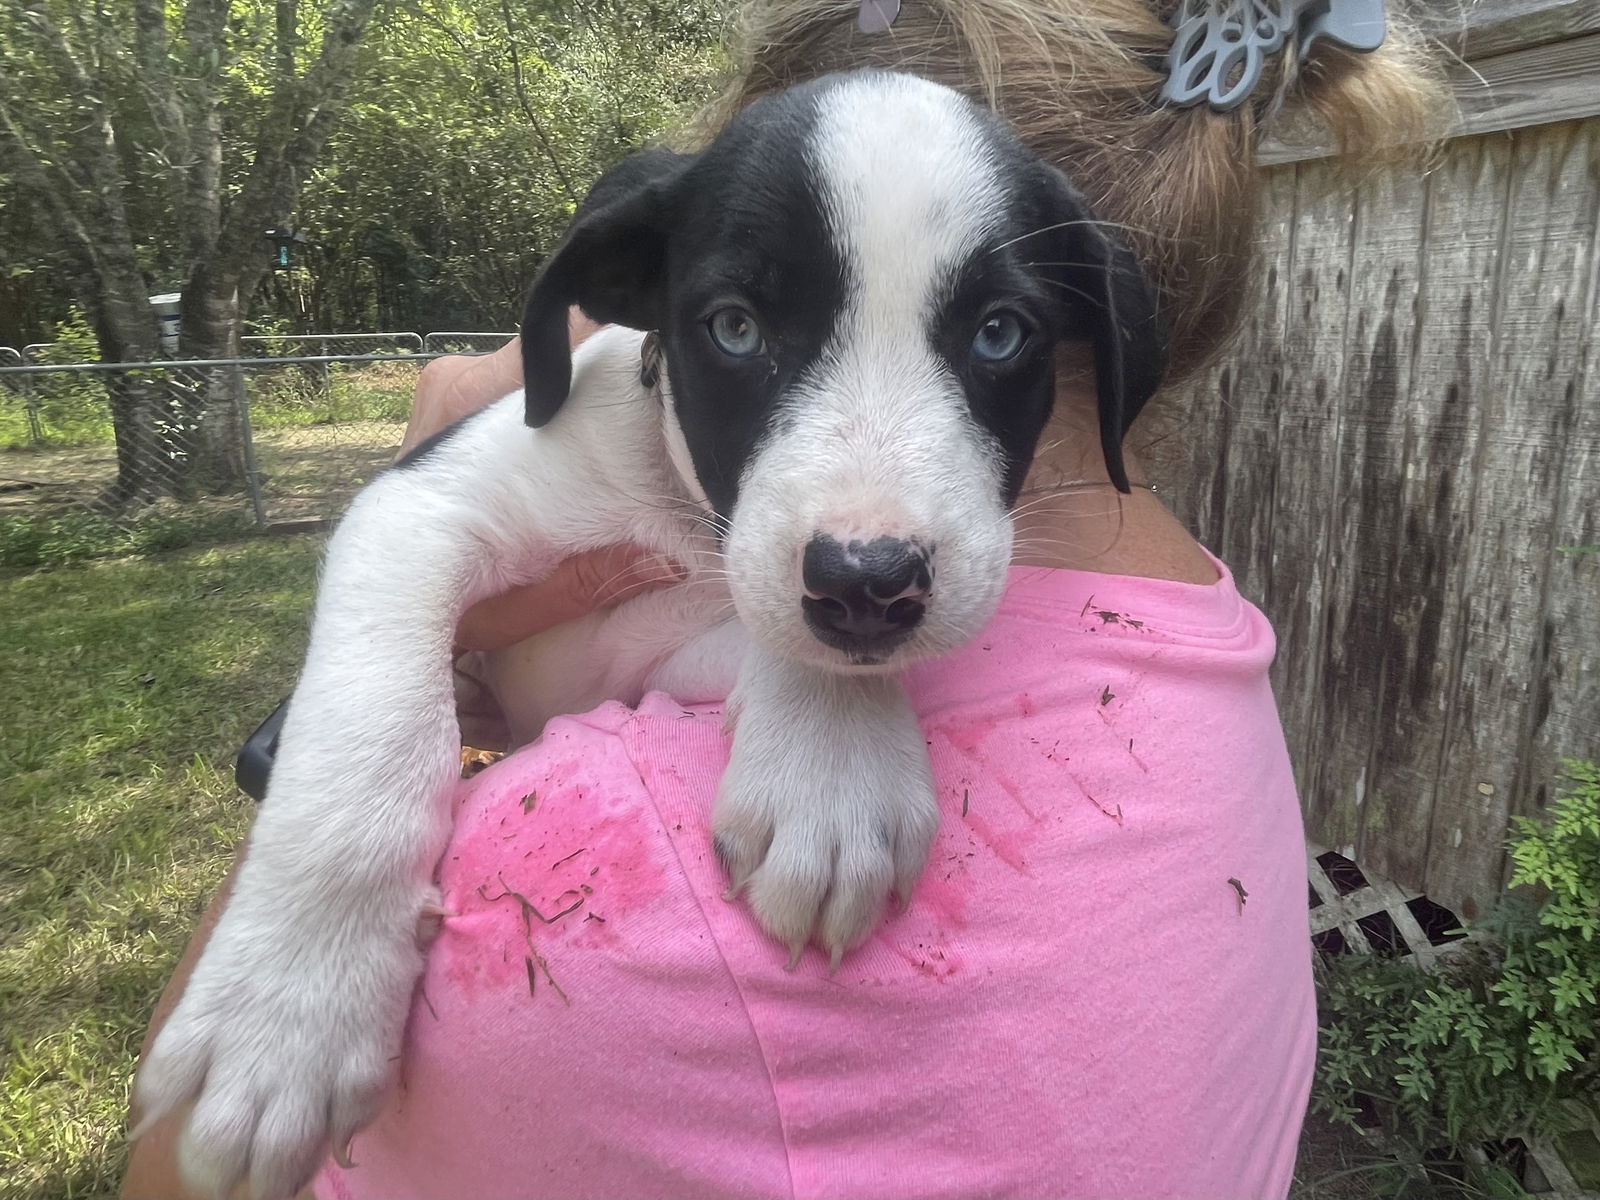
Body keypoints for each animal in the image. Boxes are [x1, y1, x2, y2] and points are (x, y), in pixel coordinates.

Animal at [134, 70, 1164, 1196]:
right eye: (735, 328)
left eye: (999, 335)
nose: (867, 586)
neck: (674, 510)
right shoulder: (419, 508)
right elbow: (366, 731)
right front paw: (289, 1007)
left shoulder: (654, 655)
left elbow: (782, 646)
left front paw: (830, 770)